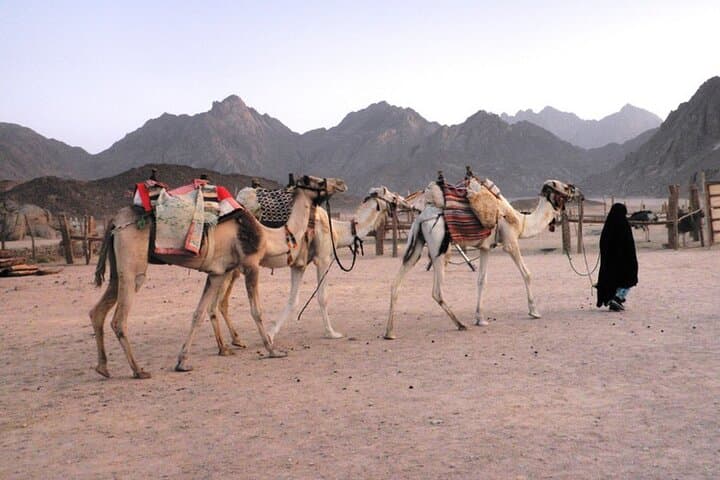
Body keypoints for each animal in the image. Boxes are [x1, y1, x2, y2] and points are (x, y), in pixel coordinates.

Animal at [89, 175, 347, 378]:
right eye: (316, 180)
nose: (341, 183)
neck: (267, 237)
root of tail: (115, 221)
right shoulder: (251, 264)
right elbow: (256, 311)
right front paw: (272, 350)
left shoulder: (216, 273)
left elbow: (198, 313)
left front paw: (182, 362)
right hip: (133, 267)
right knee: (119, 319)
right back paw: (138, 370)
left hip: (118, 269)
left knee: (97, 311)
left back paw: (103, 368)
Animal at [218, 185, 411, 346]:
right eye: (393, 196)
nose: (405, 202)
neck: (336, 232)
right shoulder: (324, 258)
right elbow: (322, 297)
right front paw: (332, 333)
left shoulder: (299, 264)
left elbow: (293, 300)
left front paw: (271, 334)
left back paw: (235, 341)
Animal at [384, 177, 578, 339]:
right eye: (564, 186)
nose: (576, 189)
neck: (521, 222)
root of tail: (421, 217)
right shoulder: (510, 242)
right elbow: (527, 273)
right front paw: (534, 311)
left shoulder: (485, 248)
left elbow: (481, 280)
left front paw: (480, 318)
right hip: (439, 245)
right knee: (436, 290)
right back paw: (460, 324)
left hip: (416, 242)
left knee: (395, 283)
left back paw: (389, 332)